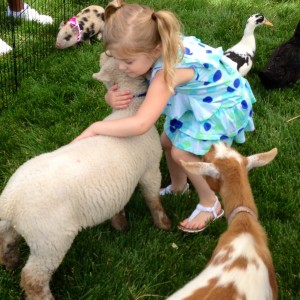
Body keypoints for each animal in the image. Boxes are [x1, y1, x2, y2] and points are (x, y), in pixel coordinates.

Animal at [0, 52, 171, 298]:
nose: (103, 52)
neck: (129, 112)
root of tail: (9, 201)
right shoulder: (150, 169)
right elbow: (152, 198)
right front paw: (164, 224)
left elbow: (118, 206)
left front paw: (120, 225)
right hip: (49, 240)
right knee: (33, 277)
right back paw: (43, 295)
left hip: (17, 227)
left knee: (6, 242)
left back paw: (10, 262)